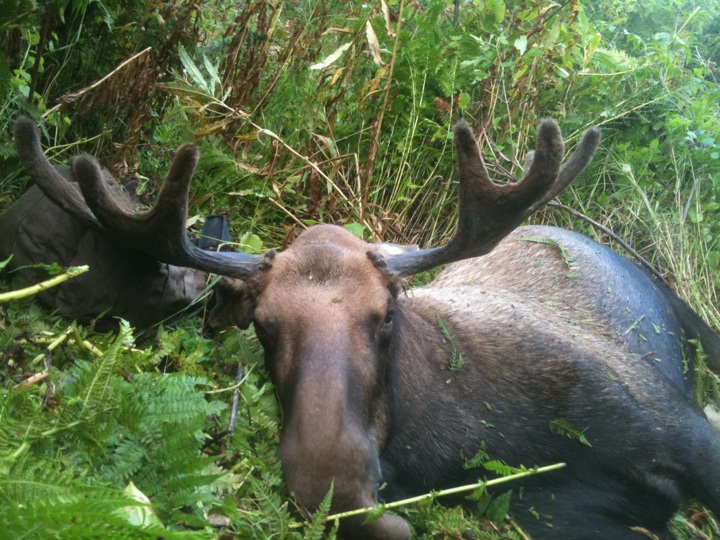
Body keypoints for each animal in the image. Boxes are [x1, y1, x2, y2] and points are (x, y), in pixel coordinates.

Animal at [11, 115, 720, 539]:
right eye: (262, 325)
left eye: (386, 315)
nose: (333, 491)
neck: (464, 442)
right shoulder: (552, 514)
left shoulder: (683, 425)